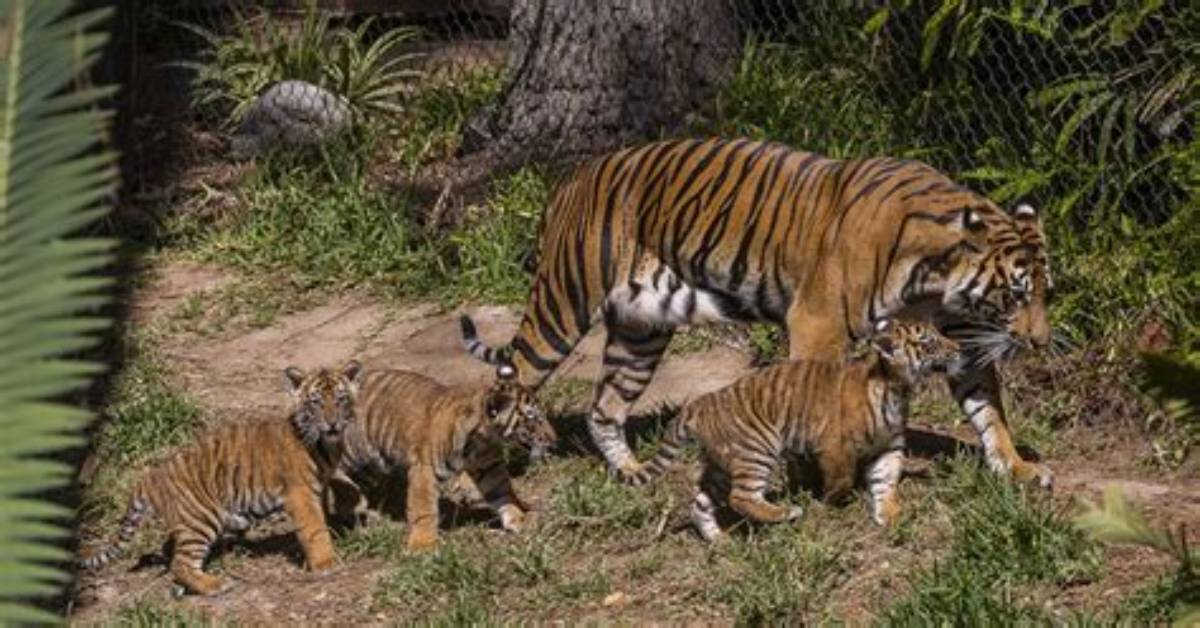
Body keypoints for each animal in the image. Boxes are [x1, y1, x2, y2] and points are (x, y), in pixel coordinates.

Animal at [79, 361, 363, 595]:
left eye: (341, 399)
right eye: (316, 402)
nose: (333, 423)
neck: (326, 445)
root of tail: (150, 478)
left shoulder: (319, 485)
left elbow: (325, 512)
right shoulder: (300, 494)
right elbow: (314, 529)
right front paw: (326, 563)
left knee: (172, 553)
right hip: (200, 518)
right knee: (180, 564)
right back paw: (214, 584)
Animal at [329, 364, 556, 551]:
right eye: (532, 419)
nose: (554, 440)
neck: (483, 438)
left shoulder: (489, 466)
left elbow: (503, 491)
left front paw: (519, 517)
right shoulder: (424, 469)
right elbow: (424, 509)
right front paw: (423, 544)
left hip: (370, 464)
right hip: (350, 453)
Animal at [458, 137, 1053, 487]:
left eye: (1046, 291)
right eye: (1017, 294)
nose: (1042, 341)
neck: (936, 275)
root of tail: (568, 181)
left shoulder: (961, 339)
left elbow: (987, 409)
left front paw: (1018, 468)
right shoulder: (817, 324)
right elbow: (813, 396)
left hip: (640, 332)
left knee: (603, 407)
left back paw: (632, 473)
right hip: (562, 307)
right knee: (508, 379)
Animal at [625, 319, 960, 541]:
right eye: (930, 342)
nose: (958, 349)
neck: (896, 387)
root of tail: (700, 404)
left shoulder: (888, 446)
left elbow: (886, 480)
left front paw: (889, 513)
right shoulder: (835, 446)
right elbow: (841, 479)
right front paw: (832, 502)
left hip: (722, 463)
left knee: (702, 502)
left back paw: (719, 540)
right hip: (757, 449)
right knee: (741, 497)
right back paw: (787, 512)